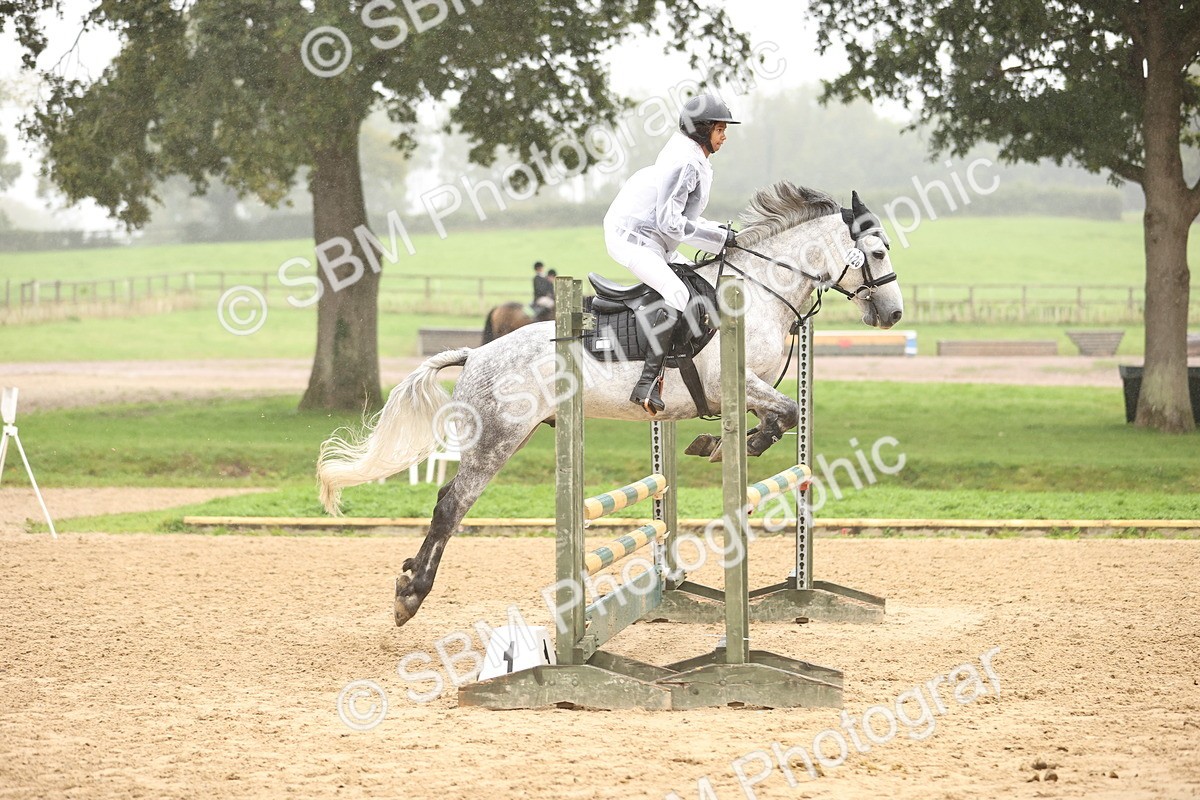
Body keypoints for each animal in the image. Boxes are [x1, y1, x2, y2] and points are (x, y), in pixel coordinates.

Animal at [317, 182, 904, 627]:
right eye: (877, 253)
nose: (893, 314)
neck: (760, 292)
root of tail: (477, 353)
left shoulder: (747, 389)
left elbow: (781, 417)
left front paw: (719, 442)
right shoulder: (733, 384)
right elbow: (784, 412)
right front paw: (723, 445)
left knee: (450, 502)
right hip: (496, 440)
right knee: (451, 504)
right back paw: (410, 593)